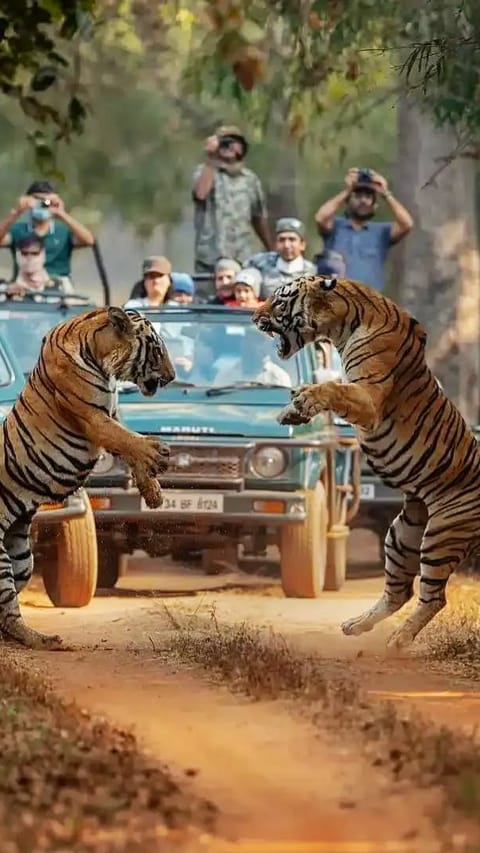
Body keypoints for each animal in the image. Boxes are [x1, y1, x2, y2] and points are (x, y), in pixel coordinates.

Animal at [0, 306, 175, 650]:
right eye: (157, 350)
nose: (173, 376)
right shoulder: (94, 419)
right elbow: (129, 440)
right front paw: (158, 454)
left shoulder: (112, 414)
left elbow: (129, 447)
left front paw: (153, 492)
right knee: (8, 607)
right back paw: (44, 640)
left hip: (21, 559)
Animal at [253, 274, 480, 651]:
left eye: (280, 300)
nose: (253, 316)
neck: (342, 324)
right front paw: (291, 411)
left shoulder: (368, 398)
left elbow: (332, 387)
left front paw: (303, 399)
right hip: (402, 535)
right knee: (399, 593)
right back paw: (356, 626)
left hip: (441, 534)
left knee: (433, 597)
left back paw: (399, 641)